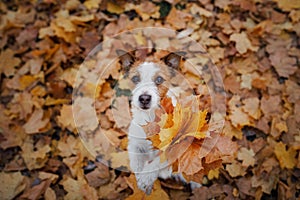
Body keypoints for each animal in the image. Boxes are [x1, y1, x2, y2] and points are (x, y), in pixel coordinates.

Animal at [117, 49, 197, 194]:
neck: (150, 119)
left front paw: (145, 178)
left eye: (159, 79)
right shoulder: (135, 144)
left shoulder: (174, 147)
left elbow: (156, 162)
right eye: (135, 79)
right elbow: (136, 162)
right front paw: (140, 178)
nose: (144, 98)